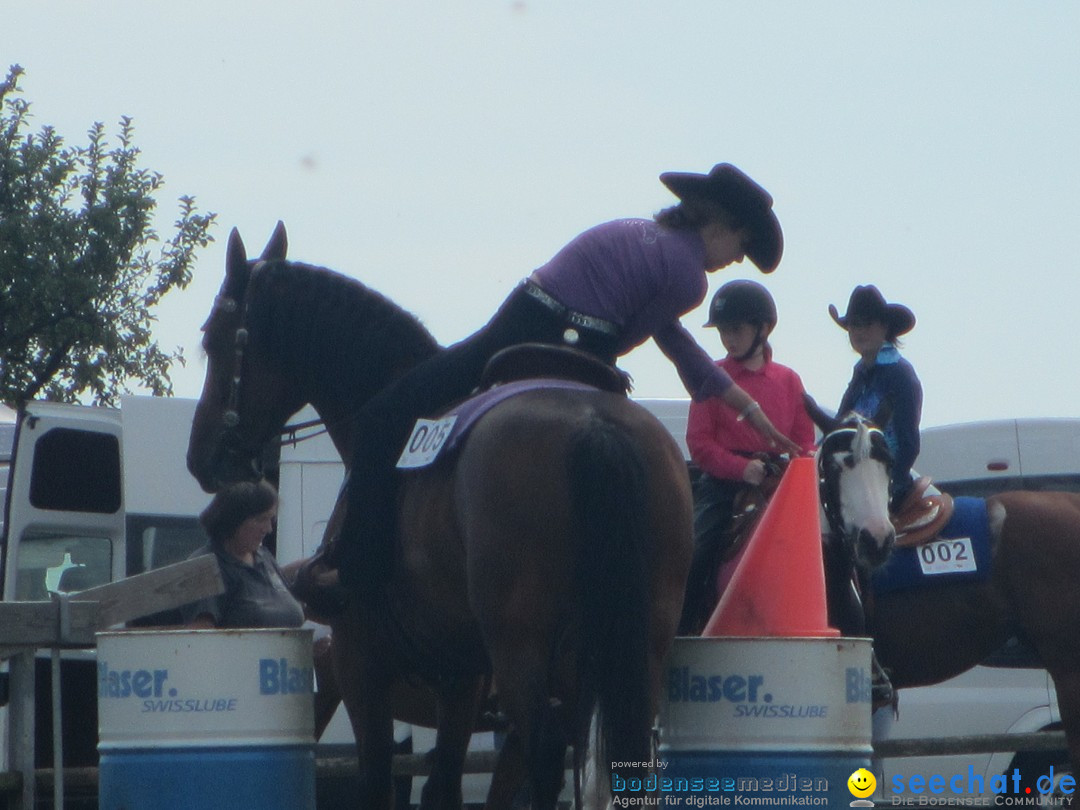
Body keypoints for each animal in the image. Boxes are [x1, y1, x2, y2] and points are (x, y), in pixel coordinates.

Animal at [185, 225, 691, 810]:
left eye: (214, 338)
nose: (203, 459)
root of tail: (594, 424)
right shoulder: (460, 674)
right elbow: (444, 783)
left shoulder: (364, 666)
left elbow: (382, 781)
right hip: (631, 646)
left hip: (521, 647)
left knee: (545, 752)